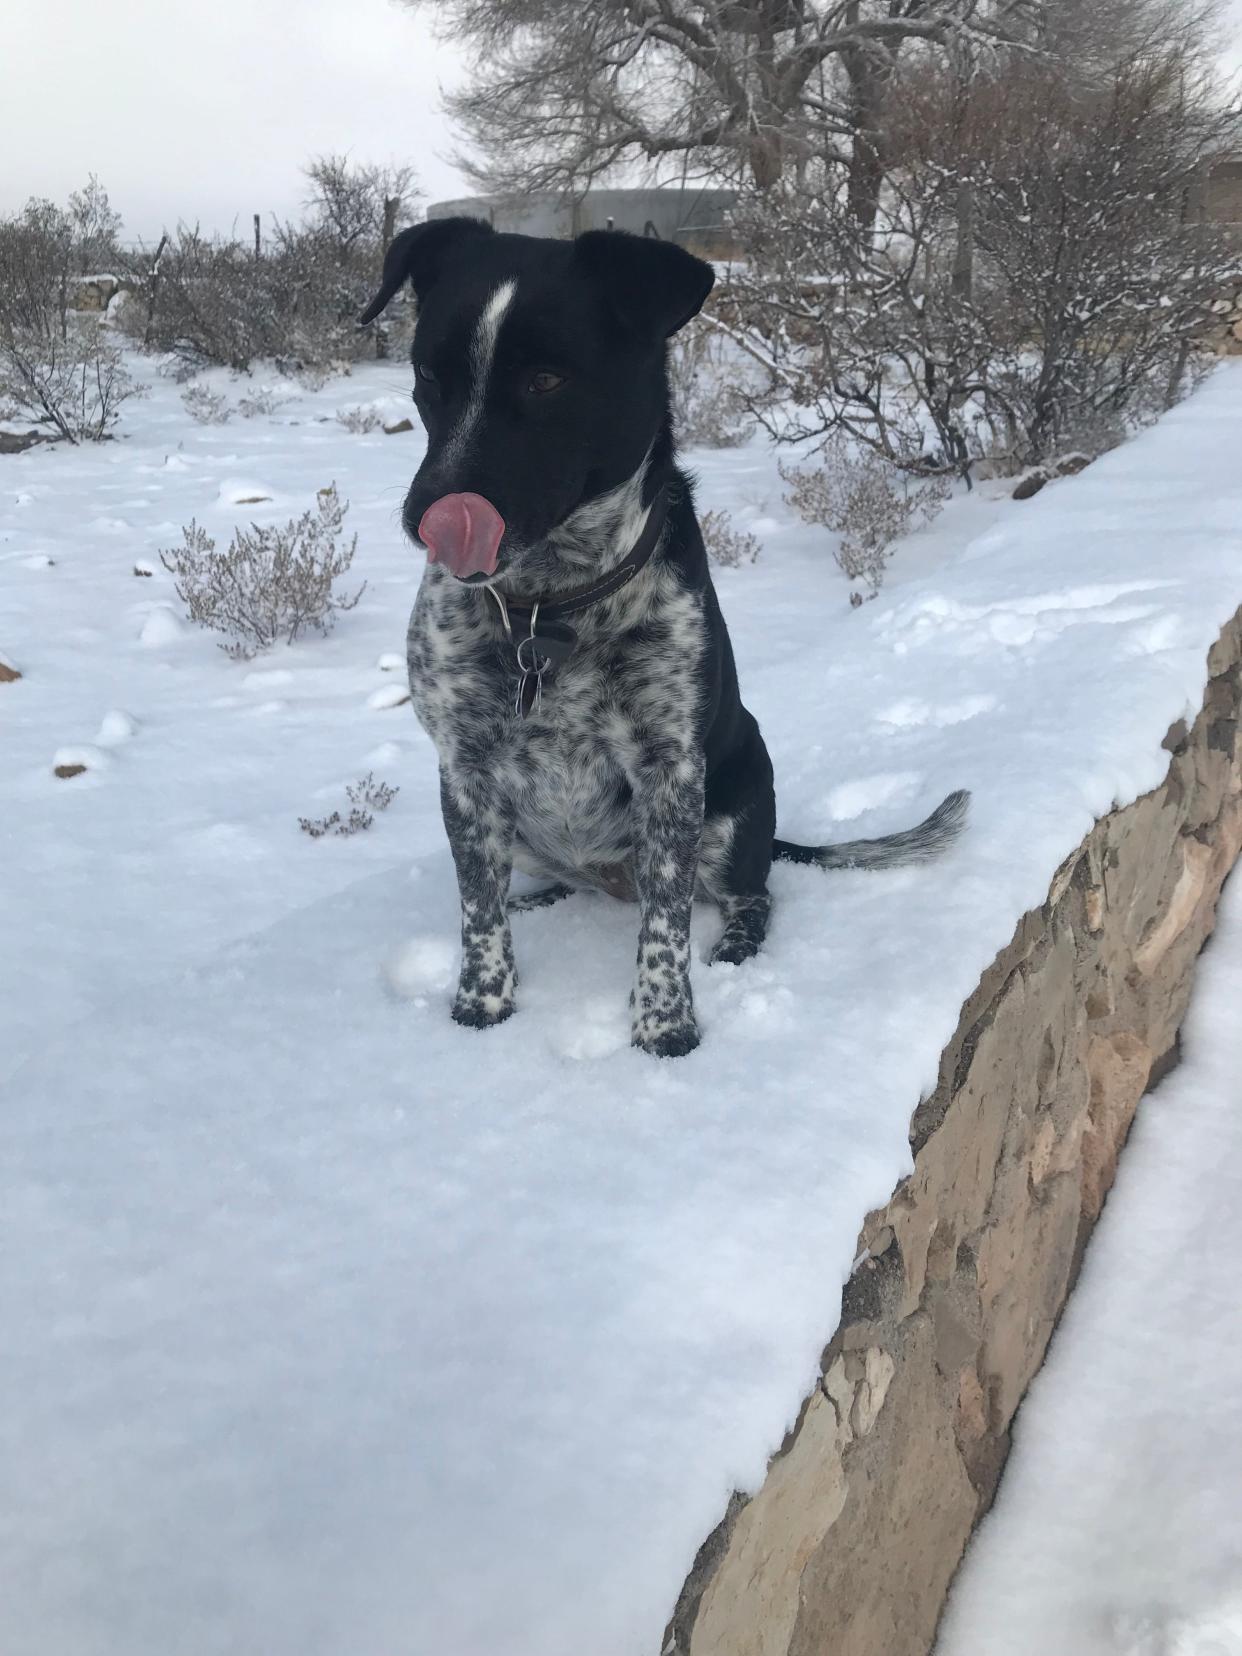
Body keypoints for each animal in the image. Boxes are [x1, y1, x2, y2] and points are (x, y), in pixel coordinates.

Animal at [362, 220, 973, 1053]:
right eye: (429, 373)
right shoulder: (465, 771)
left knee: (752, 894)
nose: (429, 514)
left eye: (547, 380)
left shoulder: (672, 773)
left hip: (734, 809)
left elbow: (666, 925)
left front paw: (665, 1026)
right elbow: (478, 909)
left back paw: (734, 945)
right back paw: (542, 900)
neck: (550, 610)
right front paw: (481, 1006)